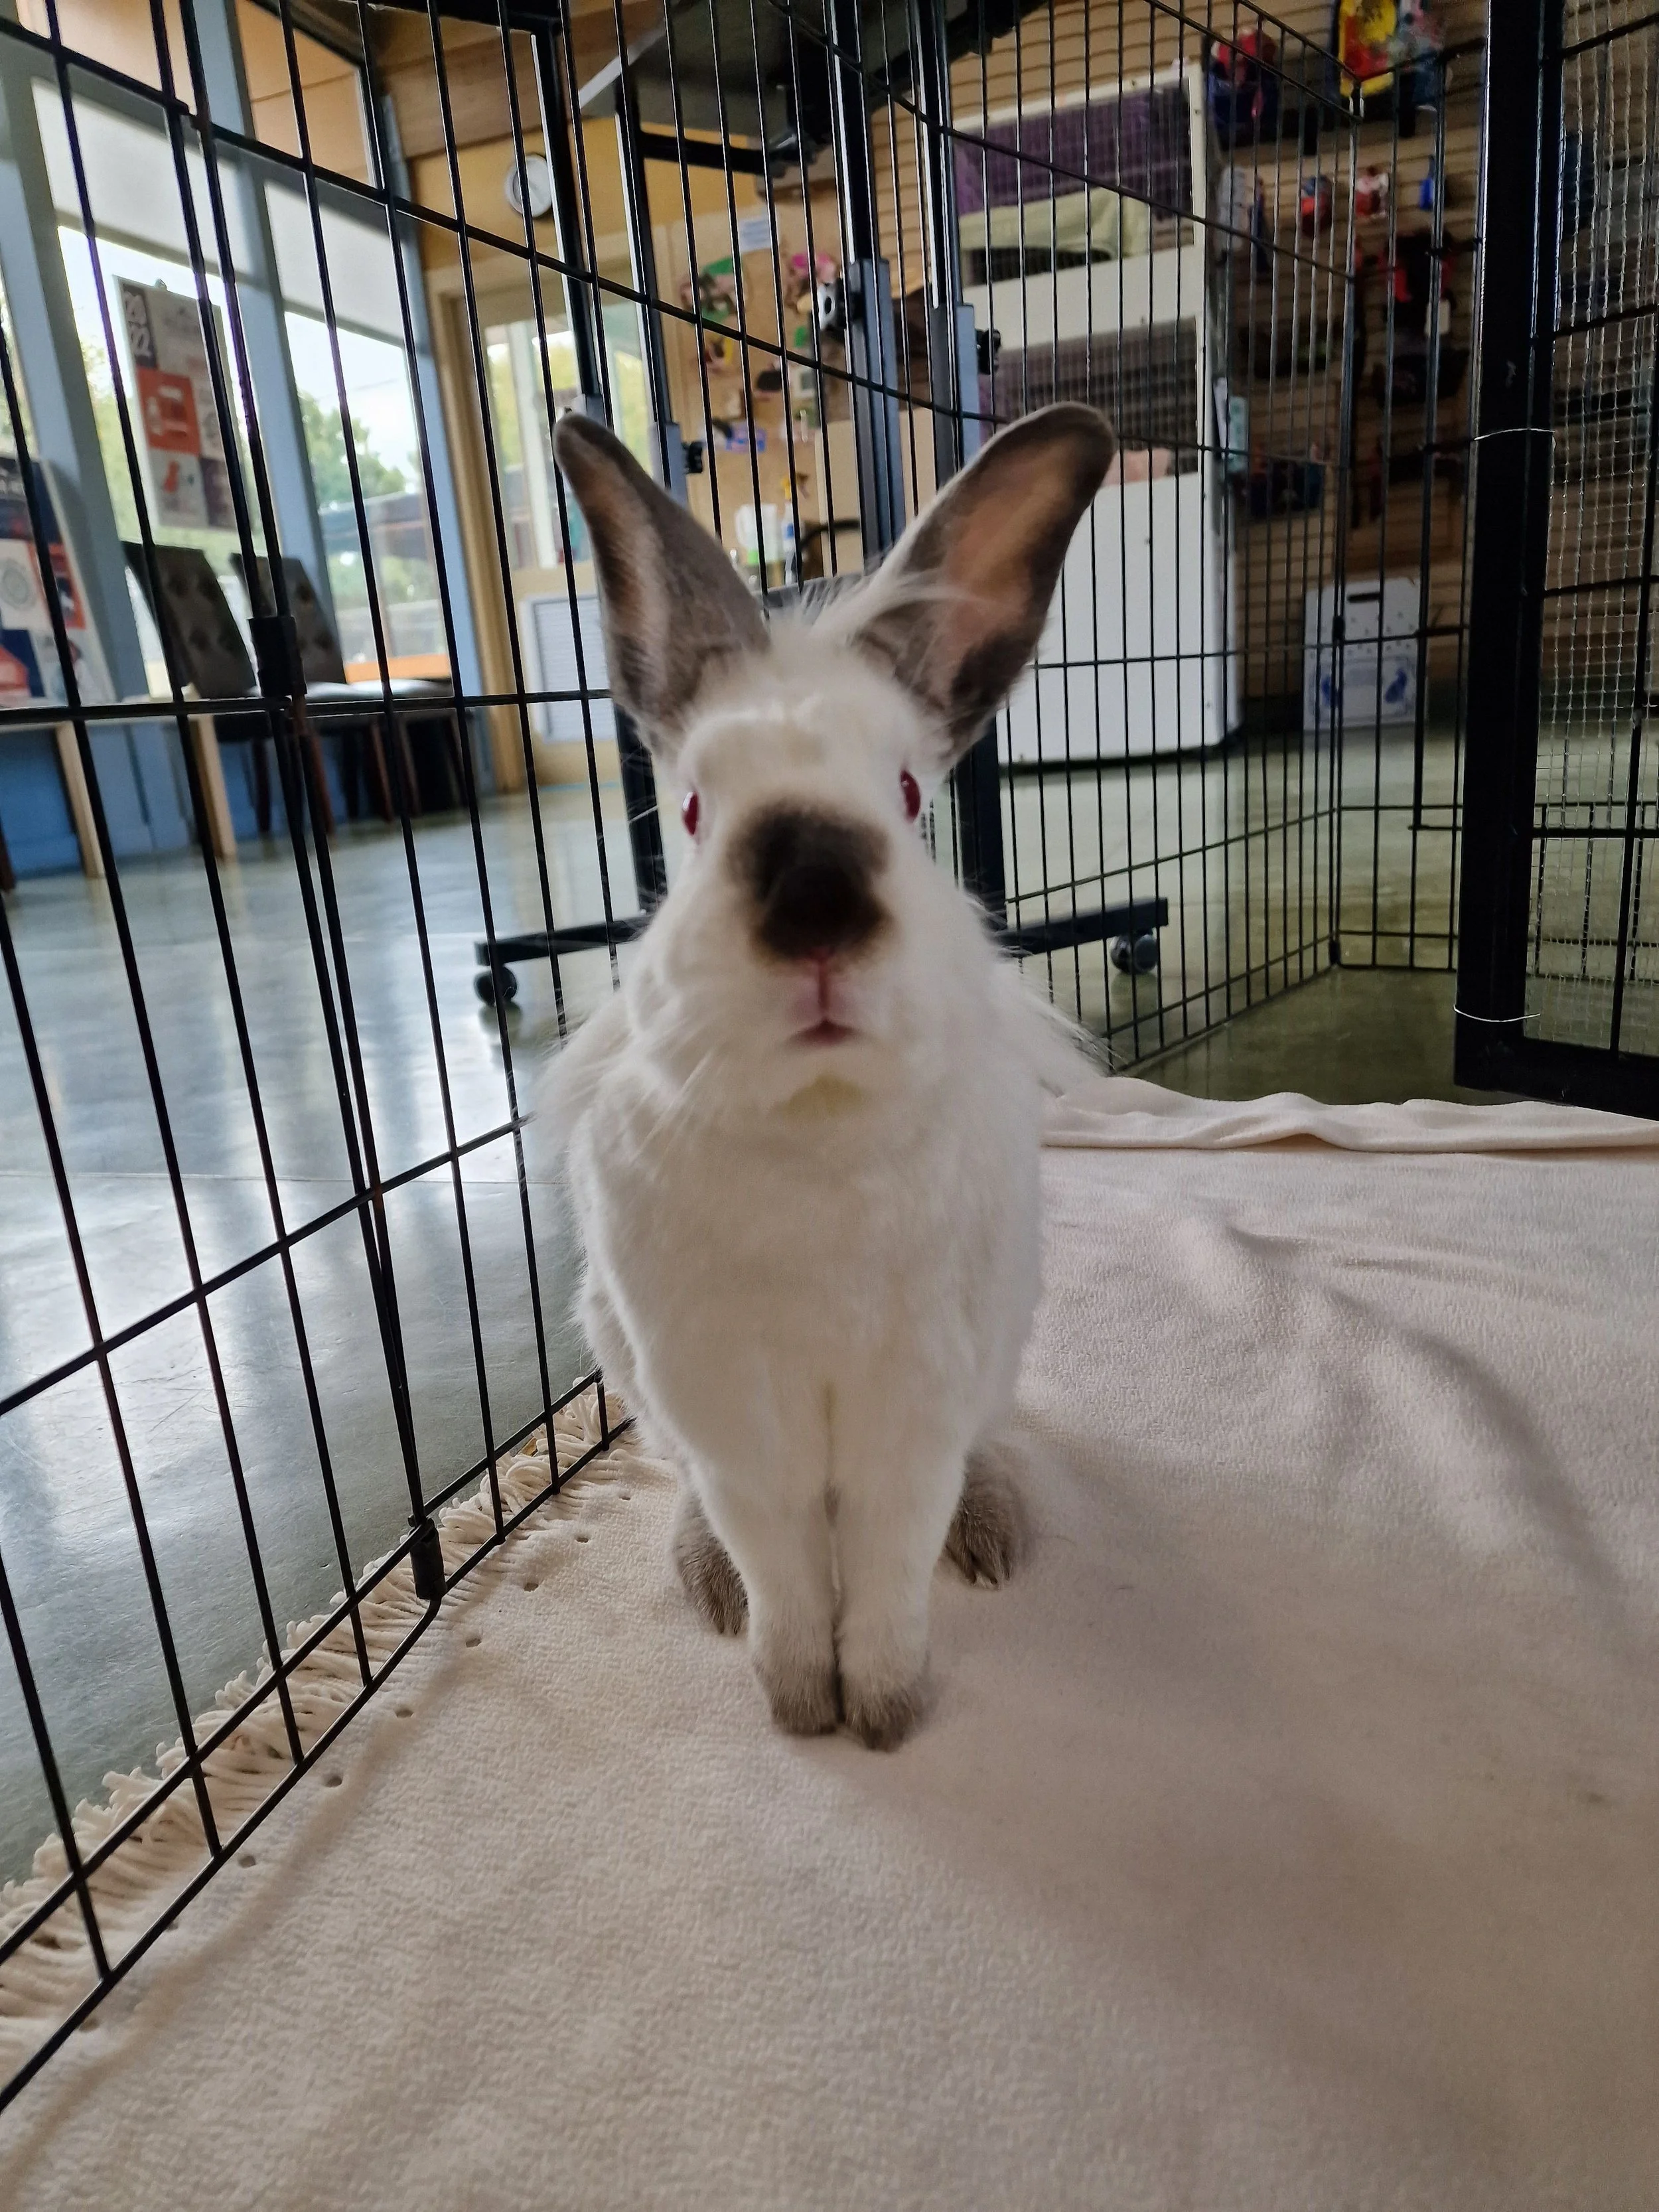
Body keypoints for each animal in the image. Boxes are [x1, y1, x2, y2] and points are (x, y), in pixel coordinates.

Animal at [543, 402, 1113, 1748]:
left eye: (907, 794)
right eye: (693, 811)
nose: (814, 898)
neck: (817, 1128)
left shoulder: (919, 1396)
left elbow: (894, 1559)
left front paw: (888, 1710)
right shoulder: (729, 1406)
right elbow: (782, 1563)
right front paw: (803, 1704)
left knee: (977, 1460)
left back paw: (992, 1530)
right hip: (625, 1359)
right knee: (692, 1497)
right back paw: (701, 1573)